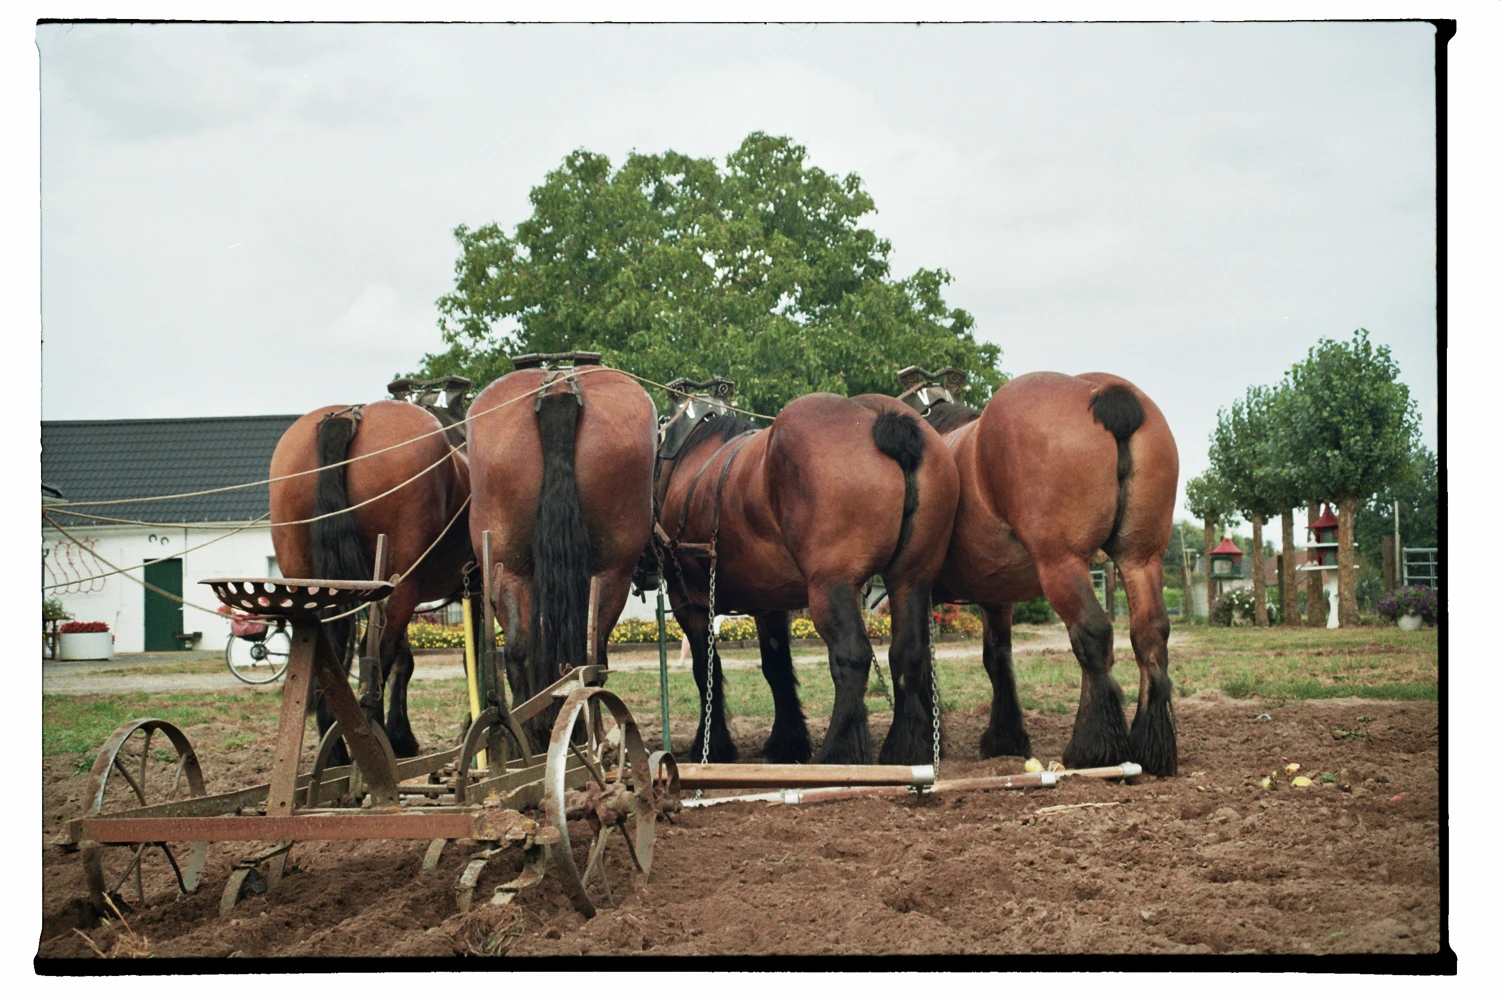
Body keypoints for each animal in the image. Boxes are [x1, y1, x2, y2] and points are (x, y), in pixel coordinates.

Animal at [268, 378, 474, 762]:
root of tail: (346, 418)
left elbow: (407, 662)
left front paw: (402, 734)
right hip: (400, 586)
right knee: (375, 655)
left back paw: (336, 750)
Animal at [466, 354, 658, 749]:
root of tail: (557, 388)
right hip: (612, 572)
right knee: (591, 653)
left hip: (507, 569)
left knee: (519, 649)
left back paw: (530, 737)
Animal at [655, 378, 960, 766]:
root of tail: (882, 419)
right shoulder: (769, 604)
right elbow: (777, 666)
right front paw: (788, 741)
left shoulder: (687, 601)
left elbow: (706, 668)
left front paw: (713, 744)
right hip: (910, 581)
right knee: (908, 654)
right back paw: (903, 750)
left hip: (830, 586)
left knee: (852, 657)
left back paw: (836, 752)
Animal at [896, 365, 1180, 776]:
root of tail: (1104, 393)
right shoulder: (996, 595)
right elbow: (997, 658)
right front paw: (1005, 738)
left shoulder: (914, 587)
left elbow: (920, 663)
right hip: (1140, 558)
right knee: (1150, 634)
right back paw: (1152, 746)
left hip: (1061, 562)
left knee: (1093, 634)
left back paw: (1092, 748)